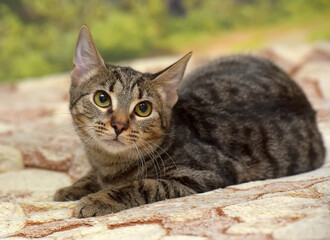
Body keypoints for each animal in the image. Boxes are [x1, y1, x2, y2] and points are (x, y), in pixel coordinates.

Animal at [53, 25, 324, 218]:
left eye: (143, 108)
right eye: (102, 98)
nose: (119, 125)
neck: (109, 163)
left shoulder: (204, 174)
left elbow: (143, 185)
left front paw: (100, 198)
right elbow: (93, 176)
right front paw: (73, 187)